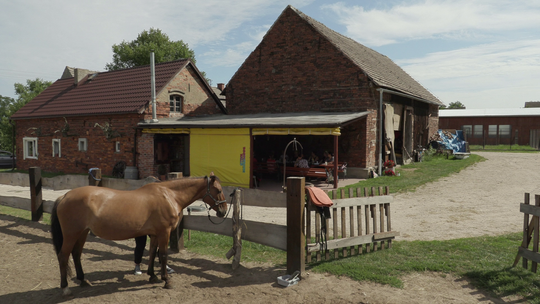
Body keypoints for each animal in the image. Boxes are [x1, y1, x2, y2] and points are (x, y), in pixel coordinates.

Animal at [49, 175, 227, 296]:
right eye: (219, 190)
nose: (223, 211)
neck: (169, 195)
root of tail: (64, 196)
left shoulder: (154, 234)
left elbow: (152, 253)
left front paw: (153, 276)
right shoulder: (164, 232)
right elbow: (163, 255)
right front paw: (166, 281)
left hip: (82, 233)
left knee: (76, 254)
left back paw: (83, 280)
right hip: (72, 234)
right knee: (63, 256)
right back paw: (65, 287)